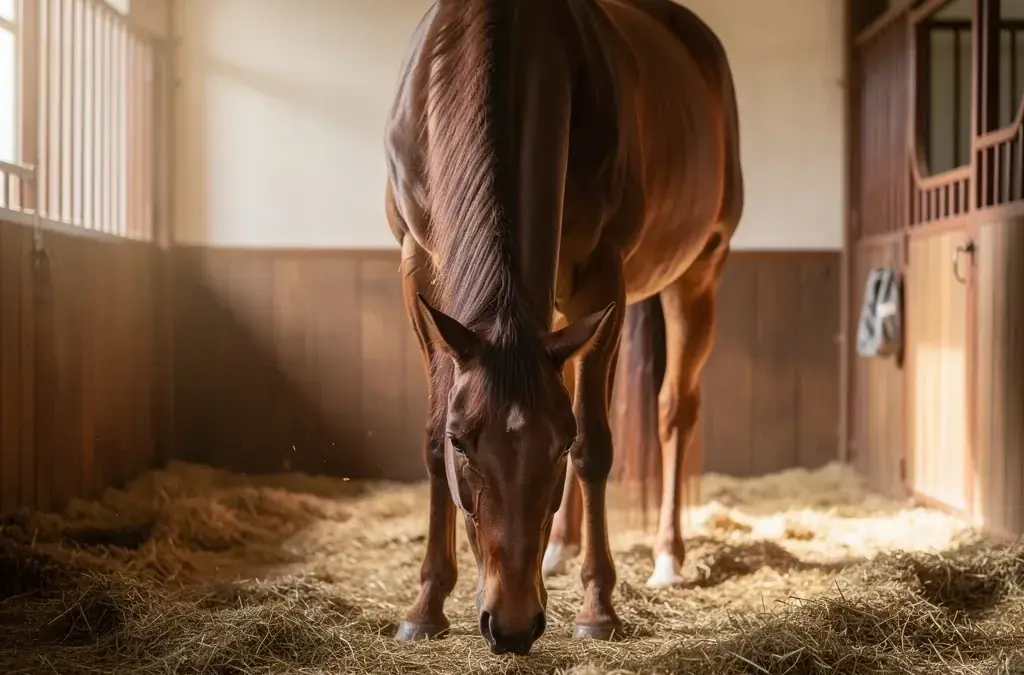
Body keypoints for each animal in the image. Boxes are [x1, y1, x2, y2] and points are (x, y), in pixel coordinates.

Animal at [383, 0, 743, 656]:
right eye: (463, 443)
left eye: (555, 446)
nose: (513, 625)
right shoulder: (416, 261)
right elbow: (428, 436)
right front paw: (426, 605)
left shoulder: (602, 277)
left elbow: (593, 445)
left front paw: (599, 607)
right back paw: (559, 549)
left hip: (697, 275)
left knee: (674, 410)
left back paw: (668, 558)